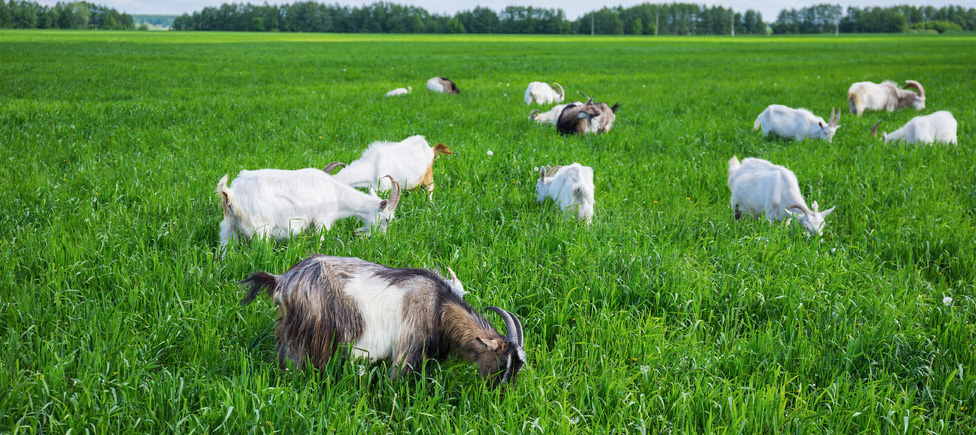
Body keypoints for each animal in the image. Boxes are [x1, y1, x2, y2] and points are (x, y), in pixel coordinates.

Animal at [216, 170, 400, 252]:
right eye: (386, 219)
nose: (381, 238)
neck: (336, 193)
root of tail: (232, 195)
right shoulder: (322, 221)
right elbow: (320, 240)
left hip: (227, 227)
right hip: (259, 229)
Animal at [240, 255, 528, 388]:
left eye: (519, 367)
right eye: (502, 362)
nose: (501, 394)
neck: (440, 307)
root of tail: (282, 281)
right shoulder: (408, 346)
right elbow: (397, 380)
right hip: (312, 333)